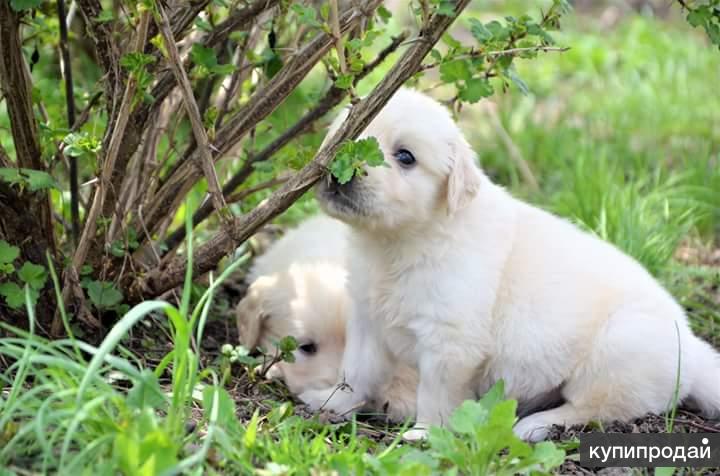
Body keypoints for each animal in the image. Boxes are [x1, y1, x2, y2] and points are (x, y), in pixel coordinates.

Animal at [300, 88, 720, 442]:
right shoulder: (367, 318)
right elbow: (355, 373)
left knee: (593, 409)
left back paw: (534, 425)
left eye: (405, 157)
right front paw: (329, 402)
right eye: (344, 140)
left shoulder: (450, 340)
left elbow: (435, 394)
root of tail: (694, 351)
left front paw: (424, 434)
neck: (394, 242)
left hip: (615, 354)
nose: (341, 172)